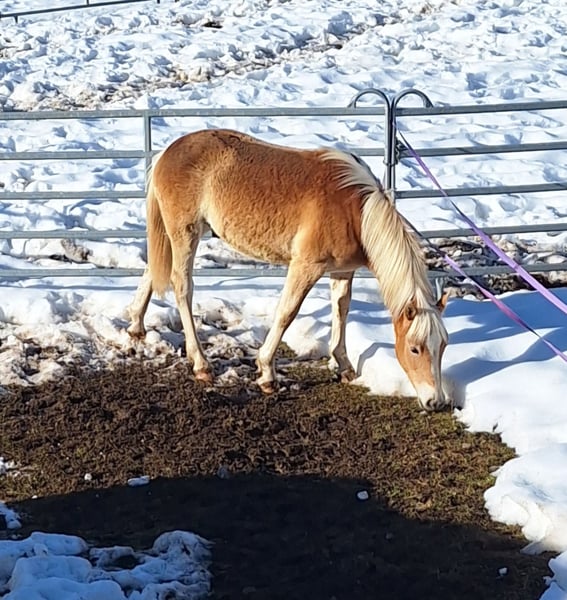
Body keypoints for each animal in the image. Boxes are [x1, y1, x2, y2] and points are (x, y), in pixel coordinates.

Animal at [127, 128, 449, 411]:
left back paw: (136, 325)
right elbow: (286, 313)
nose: (435, 402)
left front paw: (343, 365)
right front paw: (267, 373)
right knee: (182, 287)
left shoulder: (342, 271)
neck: (354, 211)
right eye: (415, 348)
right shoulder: (306, 266)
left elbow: (341, 310)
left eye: (443, 346)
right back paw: (201, 364)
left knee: (151, 273)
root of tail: (168, 151)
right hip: (186, 233)